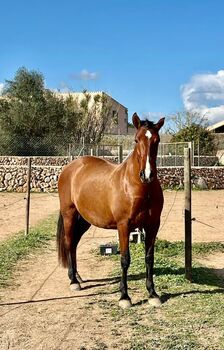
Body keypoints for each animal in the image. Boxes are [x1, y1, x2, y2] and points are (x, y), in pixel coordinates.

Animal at [56, 112, 164, 308]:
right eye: (136, 140)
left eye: (157, 140)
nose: (147, 175)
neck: (138, 187)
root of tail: (71, 167)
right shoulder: (123, 226)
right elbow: (125, 259)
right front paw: (124, 297)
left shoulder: (153, 225)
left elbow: (149, 258)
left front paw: (152, 293)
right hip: (69, 215)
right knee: (68, 243)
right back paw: (73, 281)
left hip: (84, 220)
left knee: (74, 243)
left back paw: (77, 276)